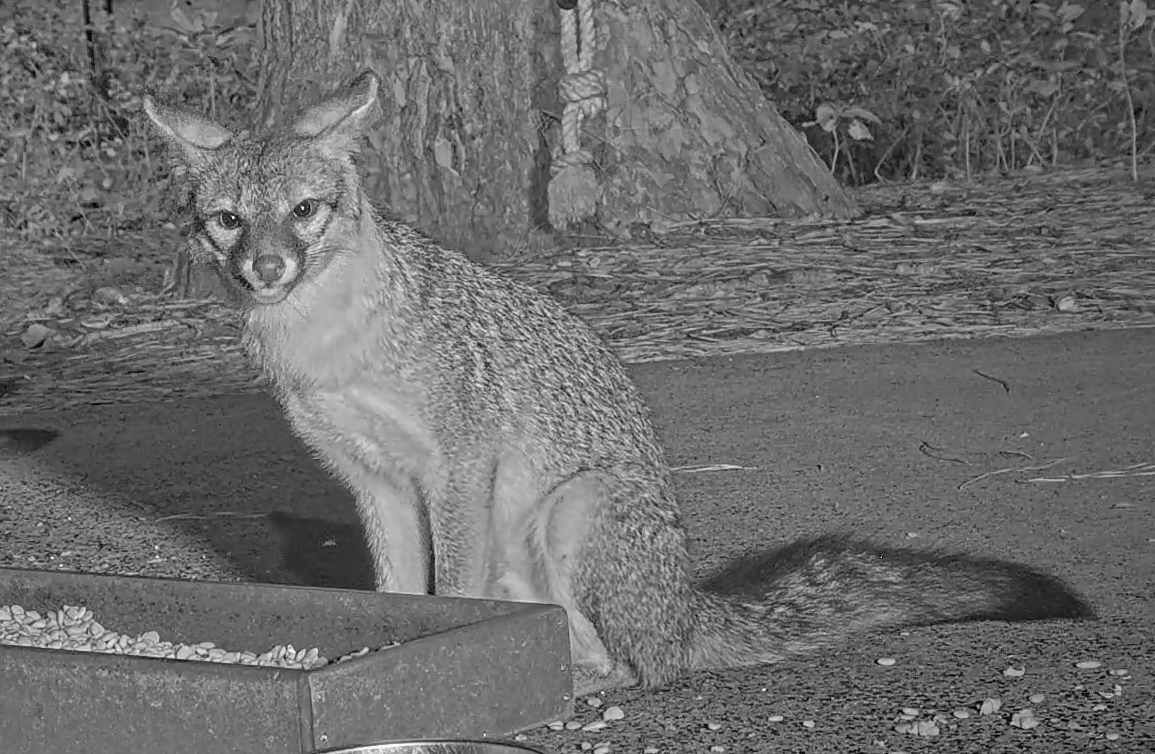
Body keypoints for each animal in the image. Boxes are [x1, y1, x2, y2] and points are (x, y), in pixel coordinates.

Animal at [142, 70, 1094, 696]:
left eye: (304, 211)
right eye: (227, 220)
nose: (267, 269)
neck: (332, 347)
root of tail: (685, 608)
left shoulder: (460, 467)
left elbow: (450, 597)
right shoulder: (373, 482)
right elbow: (398, 599)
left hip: (570, 516)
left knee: (642, 667)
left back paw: (588, 688)